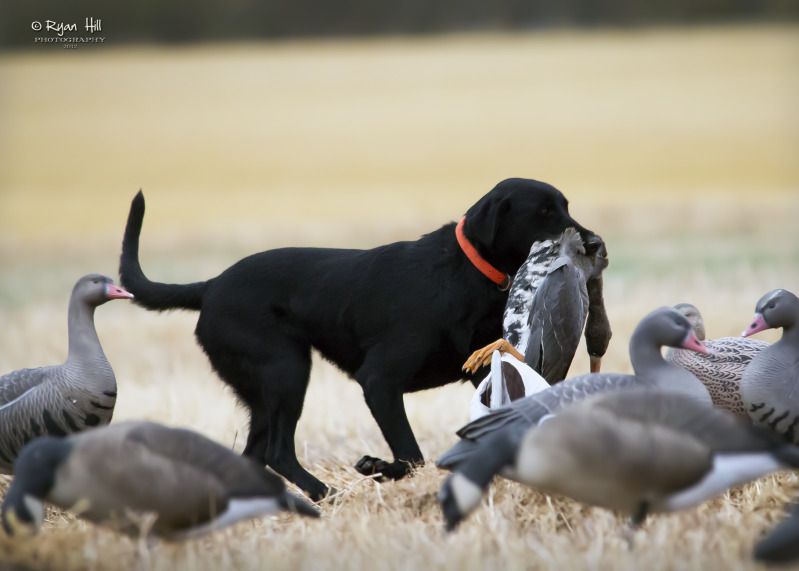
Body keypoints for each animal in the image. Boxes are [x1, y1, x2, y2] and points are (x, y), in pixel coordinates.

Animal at [117, 179, 592, 500]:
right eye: (545, 213)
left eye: (565, 206)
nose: (592, 241)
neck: (464, 271)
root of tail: (210, 286)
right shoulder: (379, 381)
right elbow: (412, 454)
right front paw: (378, 467)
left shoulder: (480, 373)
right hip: (287, 371)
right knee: (278, 451)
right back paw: (326, 494)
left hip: (265, 392)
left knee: (256, 453)